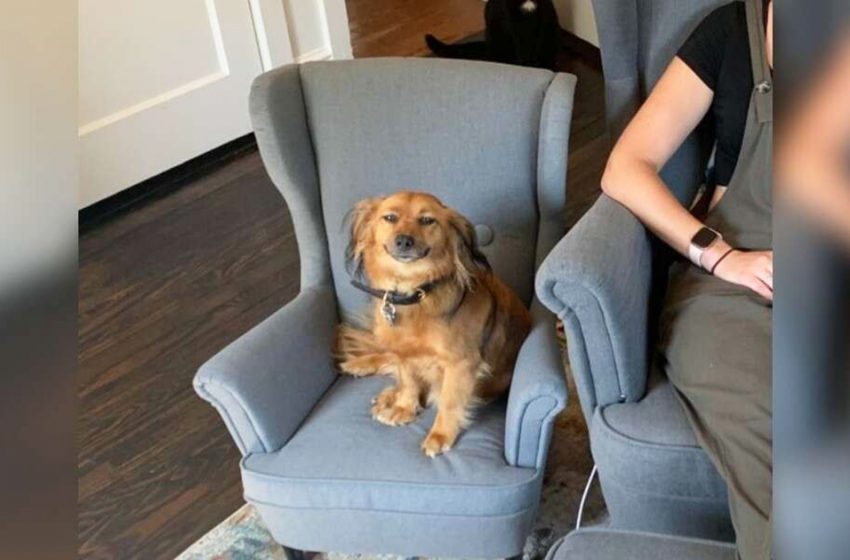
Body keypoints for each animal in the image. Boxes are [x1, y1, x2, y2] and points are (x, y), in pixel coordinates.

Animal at [332, 191, 528, 456]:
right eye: (390, 217)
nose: (404, 241)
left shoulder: (461, 364)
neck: (413, 294)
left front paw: (440, 434)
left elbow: (449, 401)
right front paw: (404, 407)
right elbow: (408, 380)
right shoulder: (404, 352)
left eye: (427, 220)